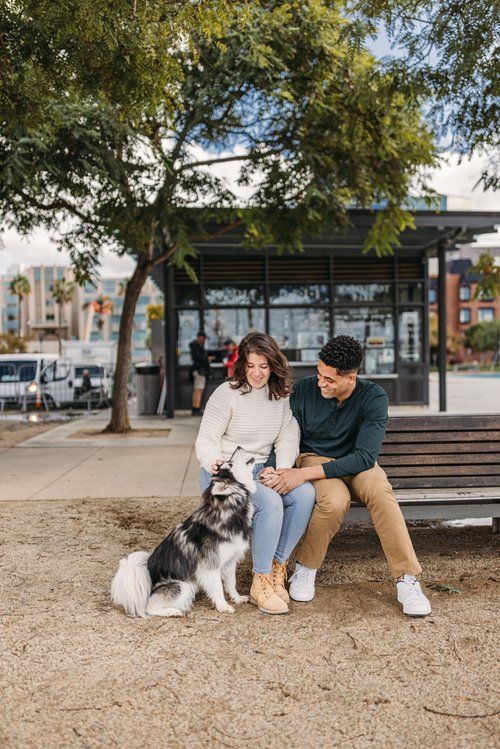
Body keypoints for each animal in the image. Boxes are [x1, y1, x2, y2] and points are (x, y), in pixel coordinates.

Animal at [111, 448, 256, 616]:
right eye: (230, 463)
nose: (238, 447)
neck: (230, 511)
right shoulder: (210, 565)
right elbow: (218, 588)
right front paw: (223, 606)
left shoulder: (230, 561)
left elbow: (231, 582)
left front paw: (236, 598)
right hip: (182, 586)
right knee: (149, 608)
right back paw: (172, 611)